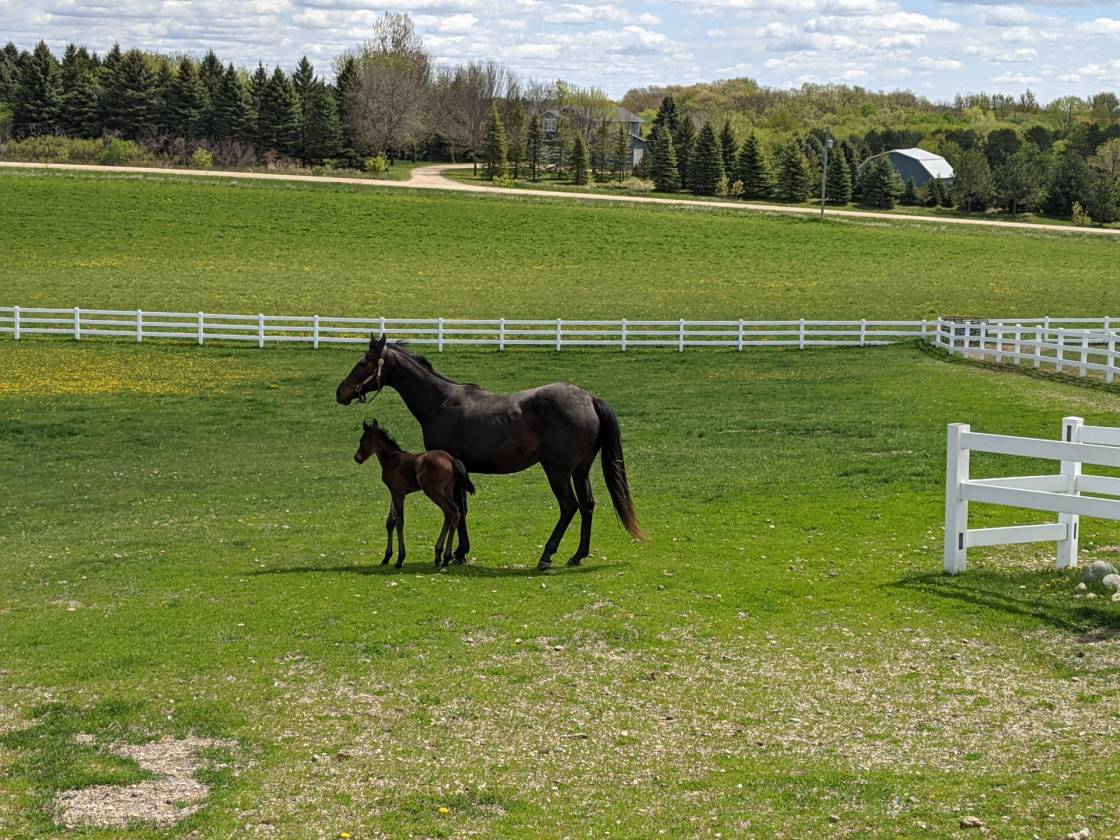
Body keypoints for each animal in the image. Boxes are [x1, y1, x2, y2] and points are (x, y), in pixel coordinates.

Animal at [354, 418, 475, 569]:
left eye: (363, 441)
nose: (357, 458)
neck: (392, 459)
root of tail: (452, 460)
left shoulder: (398, 492)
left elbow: (399, 522)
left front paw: (400, 559)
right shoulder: (394, 492)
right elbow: (390, 522)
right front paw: (386, 557)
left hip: (433, 491)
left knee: (451, 511)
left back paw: (442, 555)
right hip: (447, 490)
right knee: (455, 513)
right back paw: (443, 557)